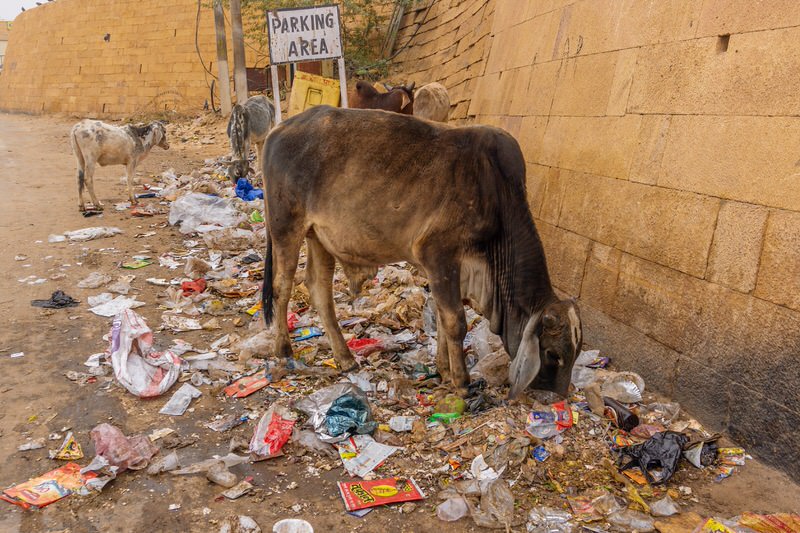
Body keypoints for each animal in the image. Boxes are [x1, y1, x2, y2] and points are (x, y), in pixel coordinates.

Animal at [260, 106, 580, 400]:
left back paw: (346, 358)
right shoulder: (438, 254)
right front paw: (462, 383)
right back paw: (284, 350)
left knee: (319, 290)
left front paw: (444, 370)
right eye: (553, 354)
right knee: (281, 287)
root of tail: (279, 129)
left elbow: (441, 317)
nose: (558, 397)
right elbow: (455, 321)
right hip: (285, 226)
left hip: (319, 237)